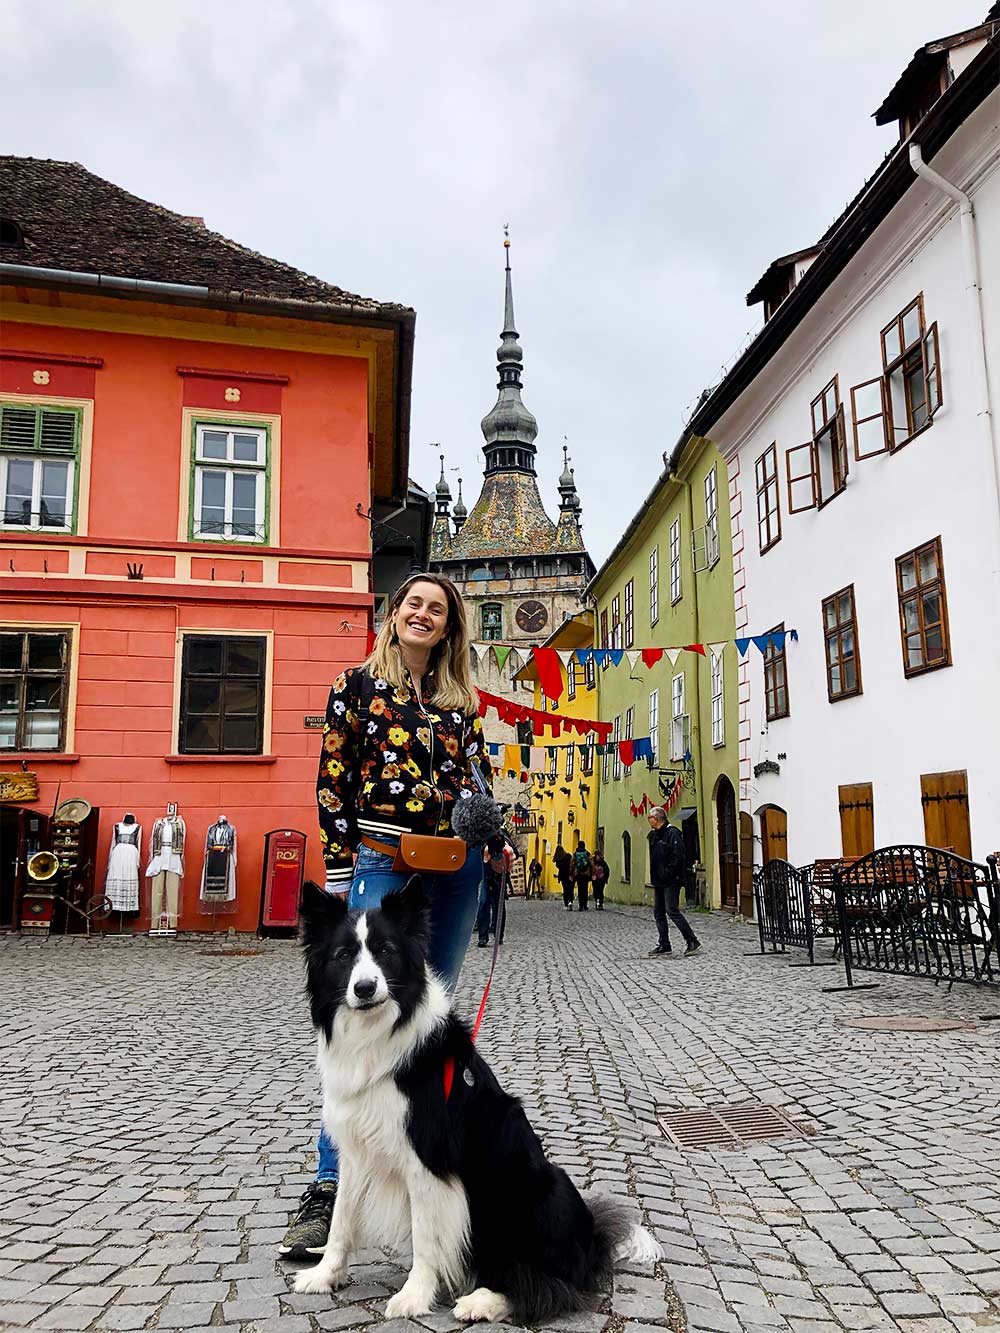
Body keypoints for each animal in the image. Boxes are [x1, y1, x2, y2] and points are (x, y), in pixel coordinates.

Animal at [293, 879, 661, 1327]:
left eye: (386, 951)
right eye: (344, 955)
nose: (364, 988)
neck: (377, 1036)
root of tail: (590, 1242)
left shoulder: (428, 1161)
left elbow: (426, 1237)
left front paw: (413, 1296)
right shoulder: (355, 1149)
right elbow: (342, 1221)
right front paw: (325, 1275)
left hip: (530, 1193)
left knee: (550, 1286)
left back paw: (482, 1301)